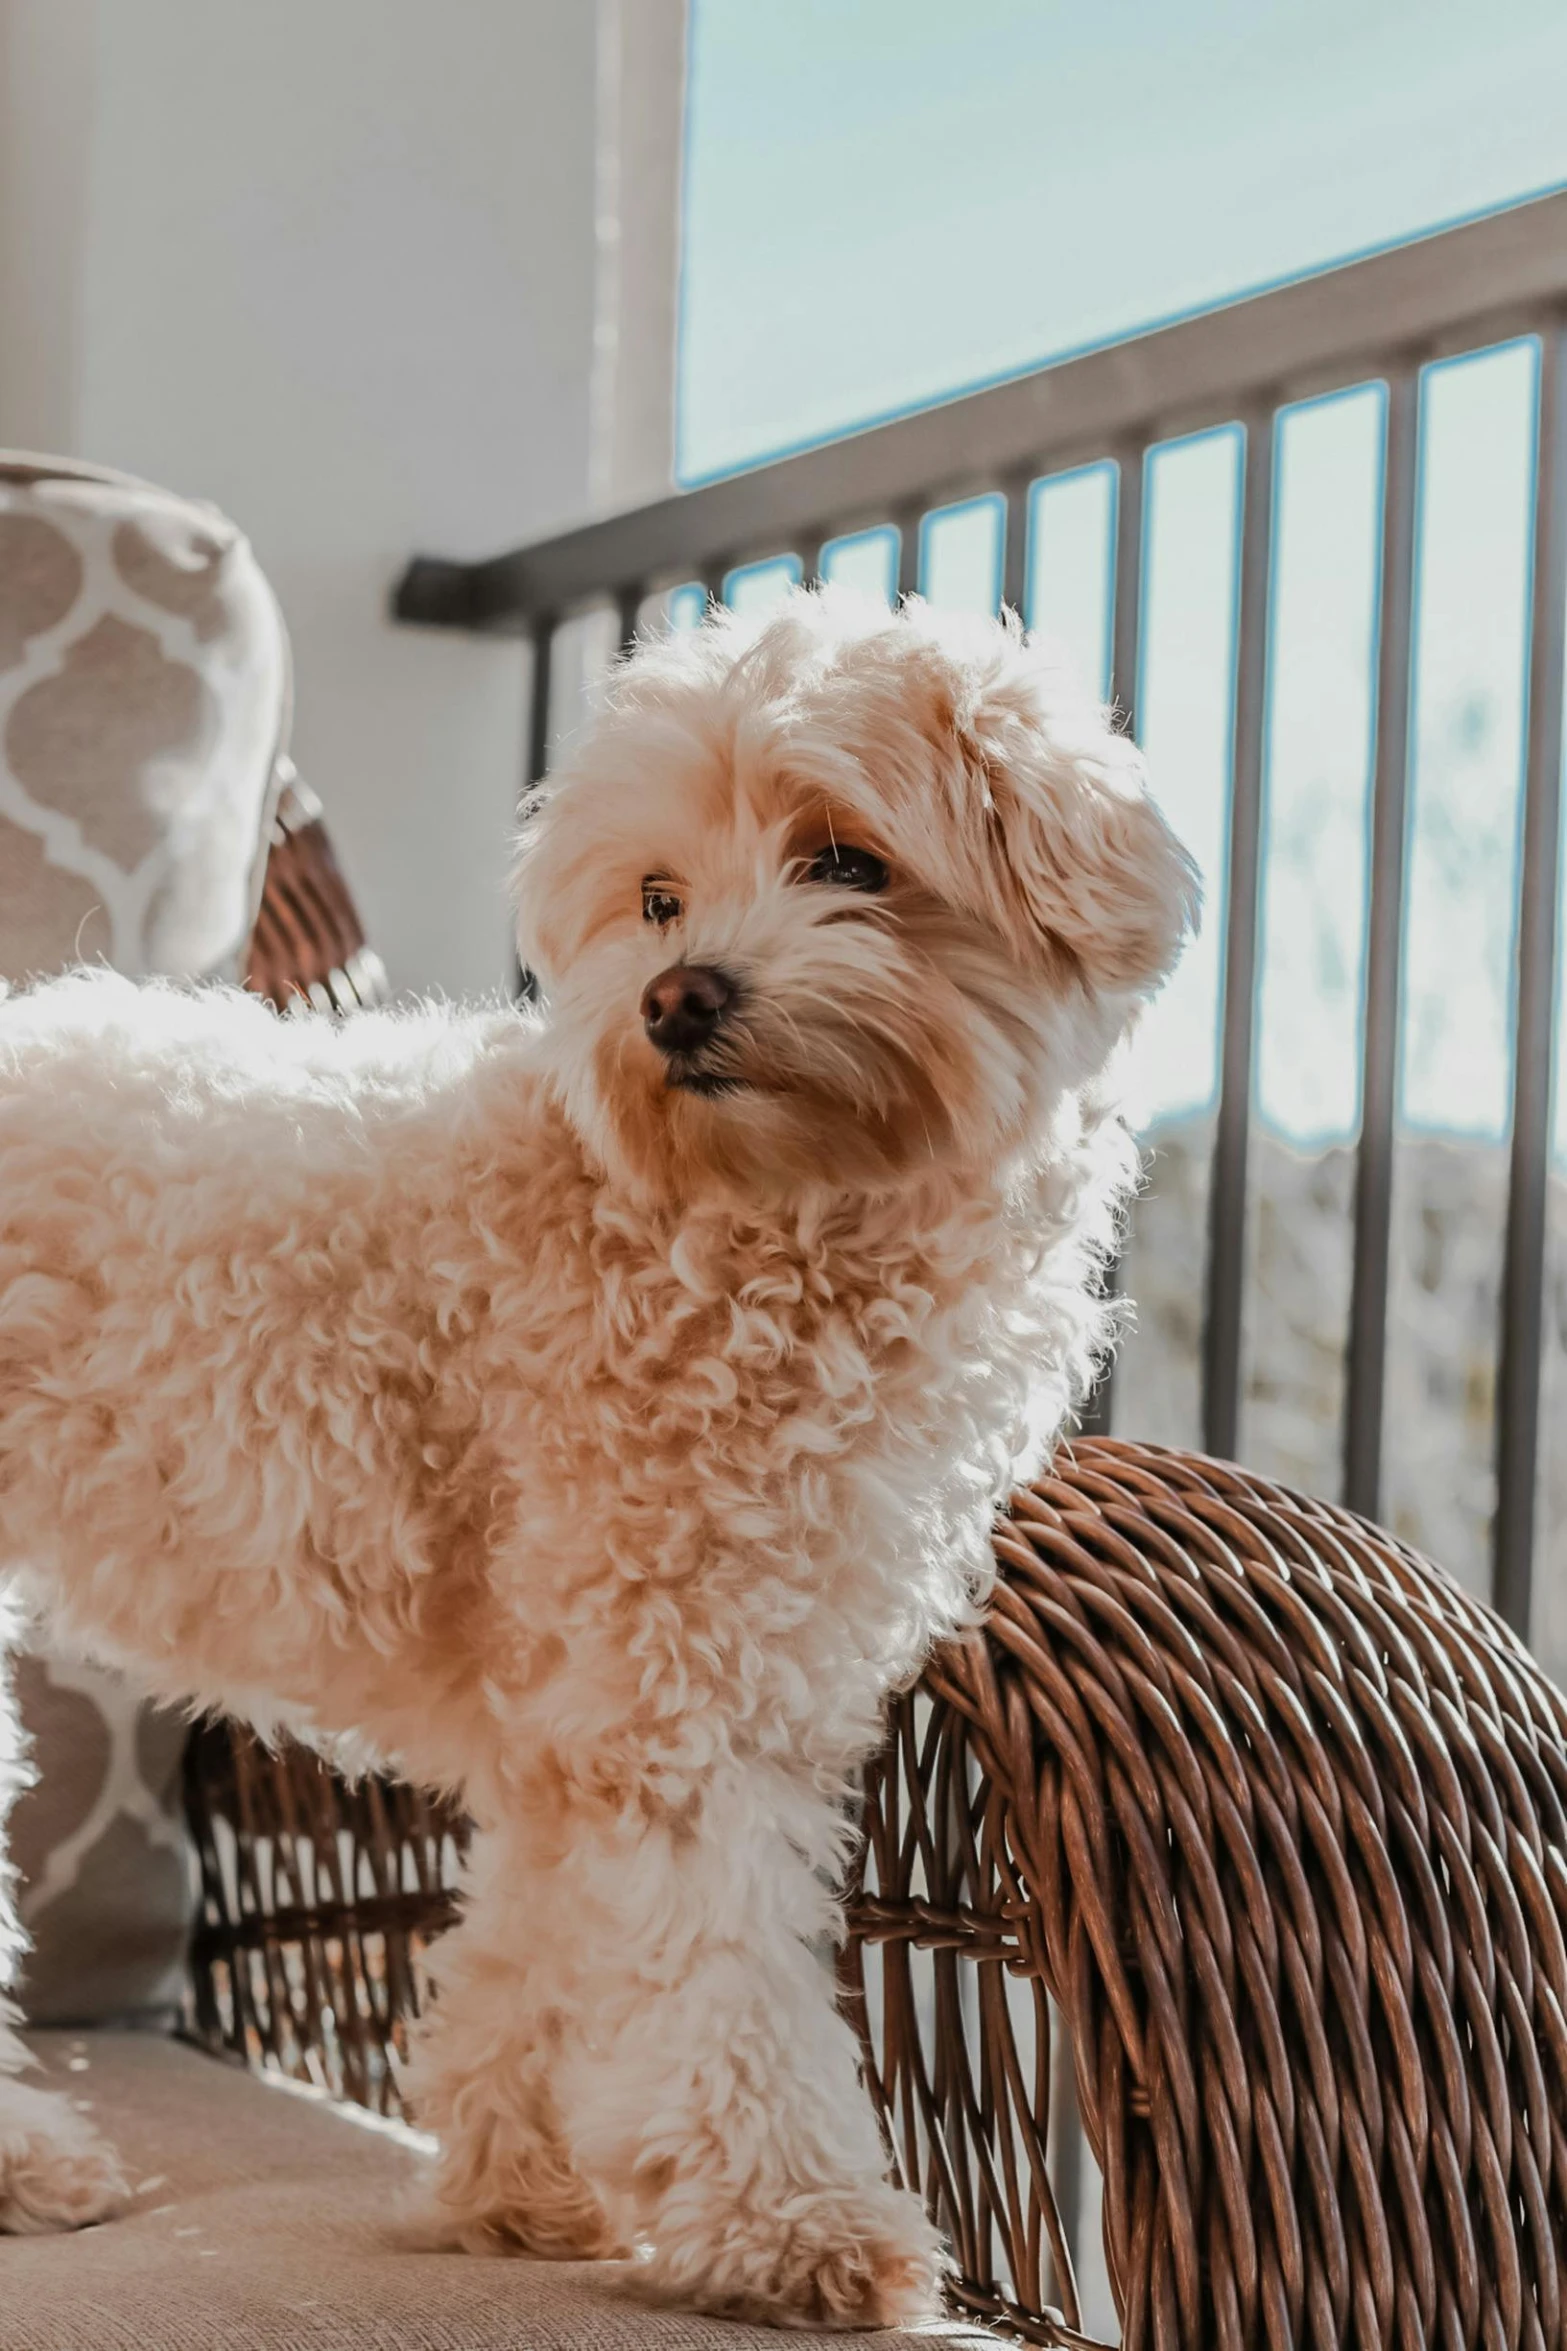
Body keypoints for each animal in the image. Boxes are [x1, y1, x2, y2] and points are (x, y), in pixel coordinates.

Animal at [0, 592, 1188, 2332]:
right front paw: (787, 2220)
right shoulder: (671, 1687)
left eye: (846, 859)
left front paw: (521, 2181)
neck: (733, 1217)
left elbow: (536, 1933)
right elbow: (712, 1971)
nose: (676, 996)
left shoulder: (588, 1694)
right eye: (657, 894)